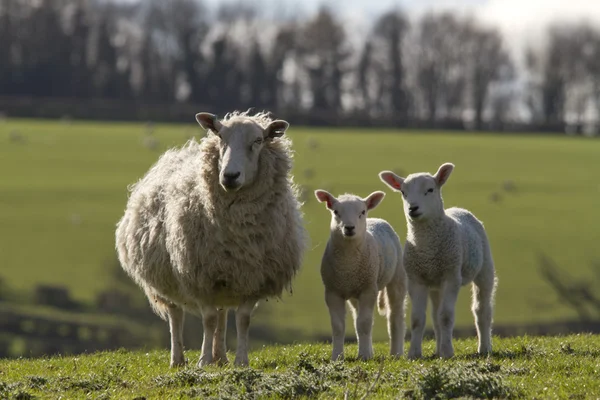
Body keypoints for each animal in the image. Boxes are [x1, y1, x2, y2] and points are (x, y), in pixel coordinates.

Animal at [115, 111, 308, 368]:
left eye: (258, 140)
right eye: (220, 137)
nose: (229, 176)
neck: (237, 232)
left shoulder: (252, 278)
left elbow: (242, 320)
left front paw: (241, 361)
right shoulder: (200, 277)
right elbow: (208, 319)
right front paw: (204, 361)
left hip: (225, 279)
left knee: (222, 313)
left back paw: (221, 357)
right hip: (168, 279)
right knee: (176, 315)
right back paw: (179, 359)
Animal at [314, 189, 408, 360]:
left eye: (362, 212)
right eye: (336, 212)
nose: (349, 228)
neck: (348, 264)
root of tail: (377, 219)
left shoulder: (368, 289)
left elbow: (364, 324)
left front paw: (364, 356)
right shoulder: (332, 291)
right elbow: (339, 326)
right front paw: (337, 356)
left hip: (397, 277)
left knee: (395, 317)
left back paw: (396, 353)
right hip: (355, 290)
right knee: (358, 316)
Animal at [380, 162, 496, 360]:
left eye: (430, 189)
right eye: (403, 192)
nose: (413, 208)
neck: (427, 247)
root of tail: (459, 209)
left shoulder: (451, 276)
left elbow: (446, 317)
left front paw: (448, 352)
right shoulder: (416, 279)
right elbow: (418, 319)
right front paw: (414, 353)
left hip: (484, 269)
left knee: (482, 310)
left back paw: (484, 347)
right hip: (435, 285)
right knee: (435, 315)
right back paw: (438, 350)